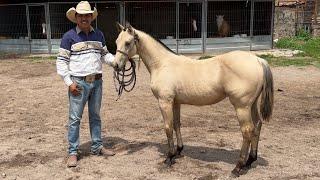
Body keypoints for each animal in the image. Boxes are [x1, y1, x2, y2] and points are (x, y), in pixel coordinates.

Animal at [112, 22, 272, 177]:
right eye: (116, 42)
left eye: (128, 43)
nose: (116, 65)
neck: (162, 64)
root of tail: (258, 60)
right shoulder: (176, 102)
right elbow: (177, 124)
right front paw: (178, 151)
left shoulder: (165, 102)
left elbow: (168, 127)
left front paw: (169, 157)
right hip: (252, 105)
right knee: (257, 125)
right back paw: (250, 161)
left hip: (242, 107)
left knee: (247, 131)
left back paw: (238, 167)